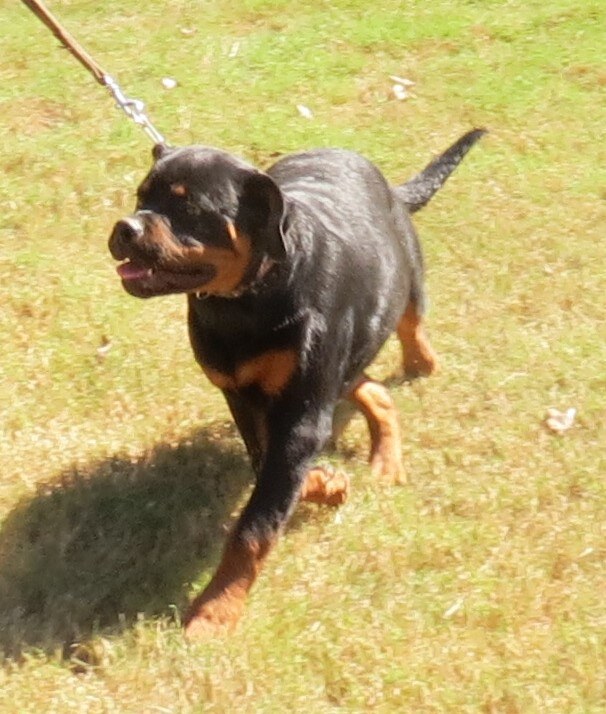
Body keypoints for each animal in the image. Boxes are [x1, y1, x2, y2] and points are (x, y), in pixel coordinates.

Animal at [108, 128, 485, 637]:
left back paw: (420, 361)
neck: (245, 301)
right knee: (370, 386)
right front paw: (324, 483)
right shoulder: (243, 395)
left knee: (411, 323)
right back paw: (384, 457)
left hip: (402, 279)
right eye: (141, 197)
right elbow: (267, 465)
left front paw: (215, 611)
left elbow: (254, 526)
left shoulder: (302, 411)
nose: (125, 228)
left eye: (190, 209)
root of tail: (387, 185)